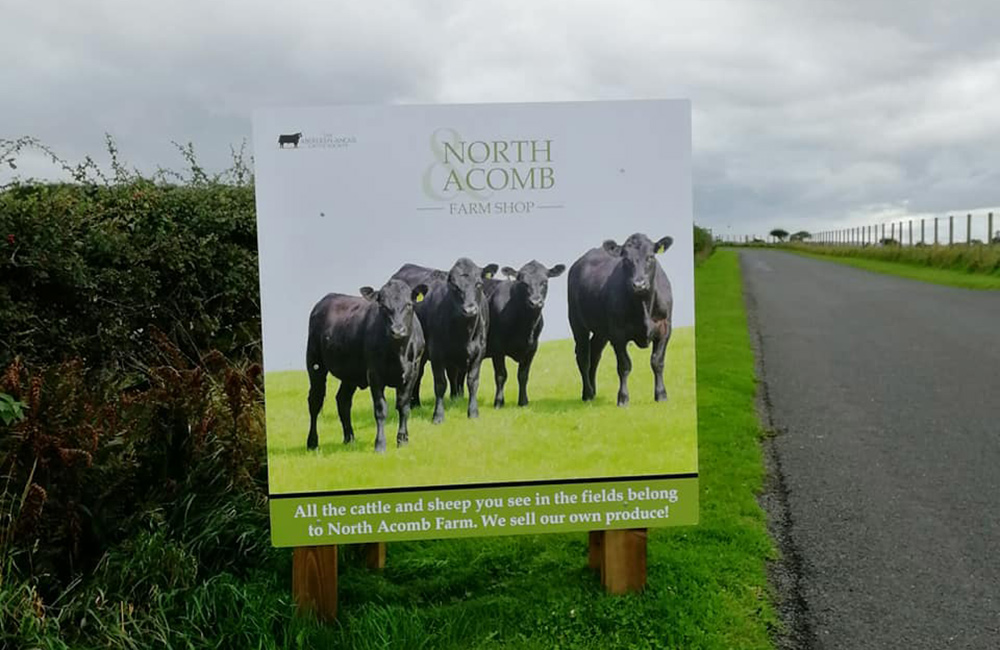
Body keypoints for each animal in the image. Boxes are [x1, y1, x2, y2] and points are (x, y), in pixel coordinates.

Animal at [306, 278, 428, 450]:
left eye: (409, 304)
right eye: (383, 306)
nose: (397, 330)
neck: (399, 352)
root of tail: (327, 298)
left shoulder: (412, 373)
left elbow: (404, 406)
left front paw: (403, 440)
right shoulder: (374, 374)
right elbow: (380, 409)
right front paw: (380, 444)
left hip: (350, 373)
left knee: (343, 400)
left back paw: (349, 438)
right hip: (315, 363)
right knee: (315, 401)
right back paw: (312, 442)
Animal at [392, 256, 498, 422]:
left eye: (479, 284)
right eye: (454, 287)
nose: (470, 309)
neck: (464, 332)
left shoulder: (479, 352)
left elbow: (472, 381)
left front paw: (473, 412)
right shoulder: (437, 353)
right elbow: (440, 384)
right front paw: (438, 415)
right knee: (418, 377)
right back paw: (415, 404)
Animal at [488, 260, 568, 404]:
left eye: (544, 282)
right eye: (523, 283)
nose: (535, 302)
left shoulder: (532, 348)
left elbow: (523, 375)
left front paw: (523, 402)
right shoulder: (497, 348)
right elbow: (501, 375)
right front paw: (499, 402)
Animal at [568, 233, 676, 404]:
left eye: (650, 257)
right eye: (626, 259)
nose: (639, 284)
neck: (643, 305)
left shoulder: (665, 328)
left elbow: (657, 362)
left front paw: (661, 394)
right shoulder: (618, 334)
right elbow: (624, 366)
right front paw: (623, 397)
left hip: (601, 331)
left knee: (595, 354)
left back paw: (593, 390)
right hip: (577, 324)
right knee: (583, 357)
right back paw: (587, 393)